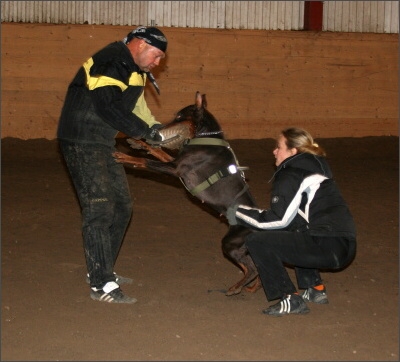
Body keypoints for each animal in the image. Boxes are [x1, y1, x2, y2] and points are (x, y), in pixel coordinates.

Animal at [114, 92, 260, 296]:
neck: (206, 139)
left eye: (179, 117)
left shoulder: (175, 168)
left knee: (251, 268)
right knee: (256, 267)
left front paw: (124, 156)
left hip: (231, 244)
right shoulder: (174, 163)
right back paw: (252, 287)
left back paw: (236, 287)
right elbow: (158, 152)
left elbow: (144, 161)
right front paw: (138, 143)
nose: (157, 130)